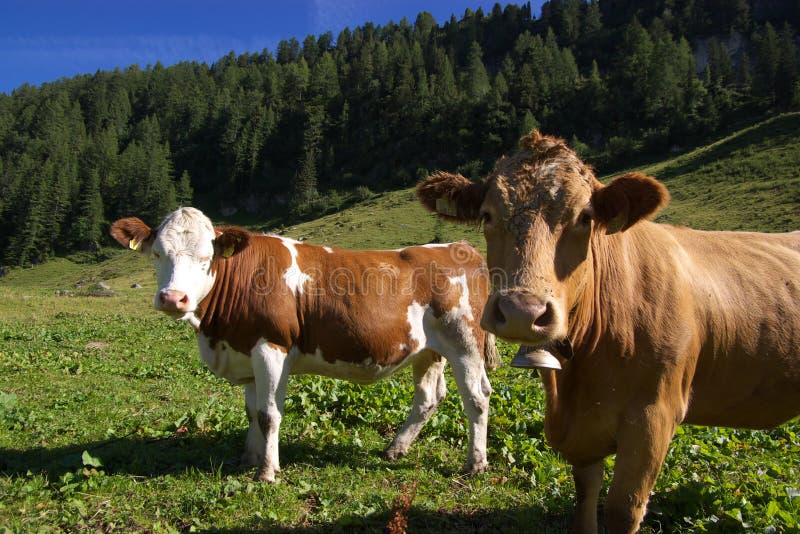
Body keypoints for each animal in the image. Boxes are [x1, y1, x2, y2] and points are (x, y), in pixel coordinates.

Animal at [109, 209, 496, 486]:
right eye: (158, 254)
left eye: (207, 258)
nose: (173, 298)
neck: (217, 333)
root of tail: (461, 247)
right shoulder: (247, 350)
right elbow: (252, 412)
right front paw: (249, 459)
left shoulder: (271, 347)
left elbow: (269, 414)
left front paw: (267, 472)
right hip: (428, 350)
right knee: (429, 398)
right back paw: (395, 449)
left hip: (464, 342)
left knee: (477, 398)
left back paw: (475, 464)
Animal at [418, 131, 800, 534]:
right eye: (488, 214)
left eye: (585, 217)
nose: (522, 312)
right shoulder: (581, 430)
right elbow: (585, 496)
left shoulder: (654, 417)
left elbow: (623, 508)